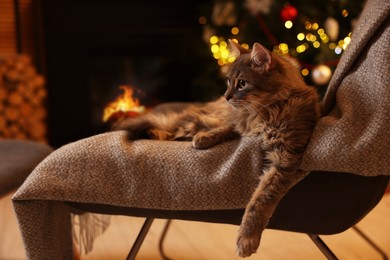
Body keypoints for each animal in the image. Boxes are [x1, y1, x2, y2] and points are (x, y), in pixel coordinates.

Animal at [113, 41, 320, 258]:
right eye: (228, 81)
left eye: (242, 84)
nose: (226, 96)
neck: (266, 111)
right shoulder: (239, 123)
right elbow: (227, 129)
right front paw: (204, 139)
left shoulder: (284, 158)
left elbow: (259, 200)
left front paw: (247, 240)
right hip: (198, 120)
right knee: (171, 128)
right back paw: (161, 134)